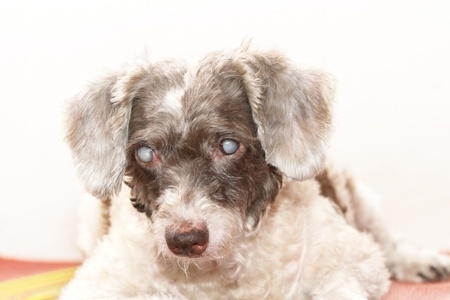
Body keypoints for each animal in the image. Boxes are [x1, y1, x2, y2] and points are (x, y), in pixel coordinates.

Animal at [60, 45, 450, 298]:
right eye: (145, 153)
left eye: (229, 146)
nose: (184, 240)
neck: (217, 276)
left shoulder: (351, 261)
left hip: (363, 202)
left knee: (391, 244)